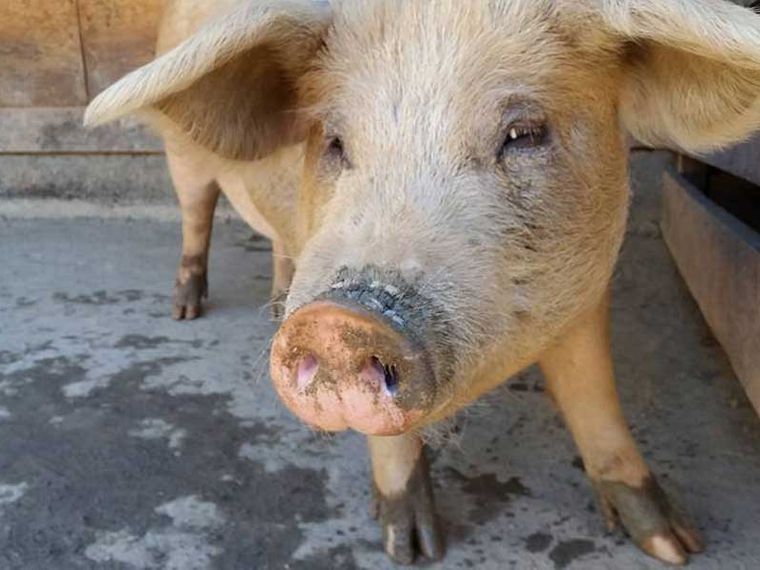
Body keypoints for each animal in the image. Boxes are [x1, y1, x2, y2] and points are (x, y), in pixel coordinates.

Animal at [86, 0, 760, 565]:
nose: (338, 321)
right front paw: (412, 551)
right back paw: (185, 311)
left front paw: (676, 547)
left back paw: (275, 304)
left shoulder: (590, 287)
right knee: (195, 218)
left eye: (523, 134)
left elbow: (596, 398)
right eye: (335, 141)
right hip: (183, 161)